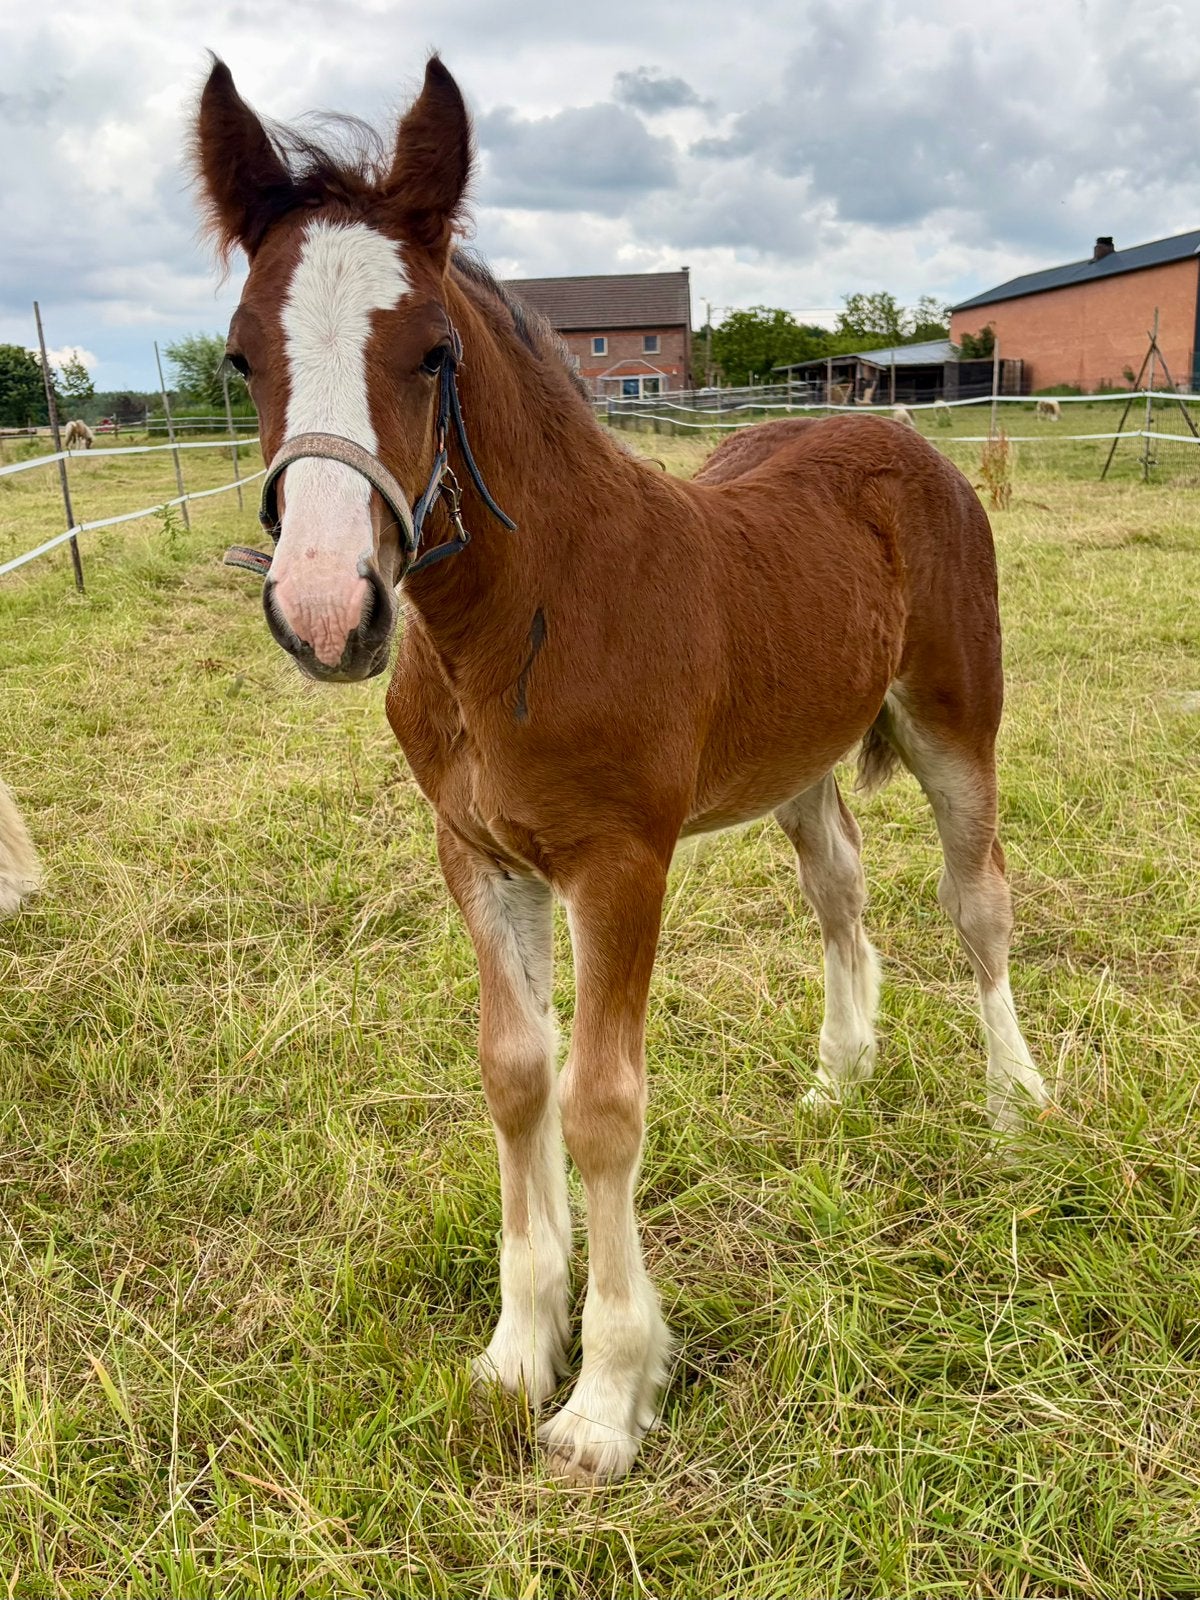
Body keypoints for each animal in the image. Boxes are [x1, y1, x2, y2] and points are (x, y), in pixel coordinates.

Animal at [194, 55, 1048, 1485]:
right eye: (242, 353)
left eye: (432, 352)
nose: (323, 608)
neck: (524, 619)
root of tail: (908, 443)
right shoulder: (479, 856)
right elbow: (513, 1073)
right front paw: (513, 1352)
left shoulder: (619, 861)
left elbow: (600, 1102)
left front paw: (606, 1396)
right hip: (797, 759)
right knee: (841, 896)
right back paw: (839, 1078)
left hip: (951, 724)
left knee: (975, 900)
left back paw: (1014, 1102)